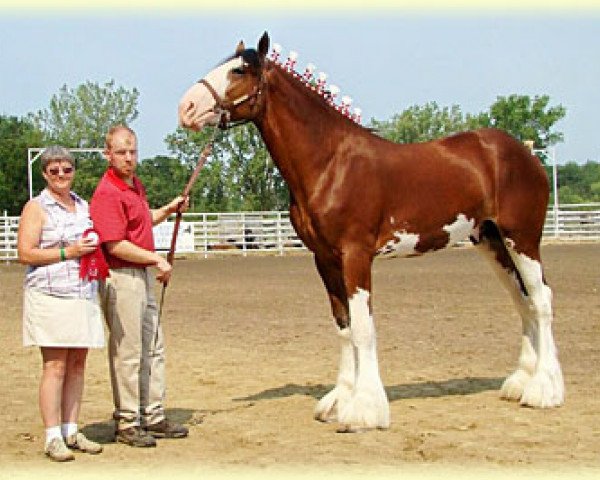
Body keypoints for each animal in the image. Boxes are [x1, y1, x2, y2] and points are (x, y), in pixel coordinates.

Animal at [177, 32, 564, 432]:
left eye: (238, 70)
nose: (186, 107)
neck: (331, 162)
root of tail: (526, 154)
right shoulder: (325, 259)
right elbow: (344, 326)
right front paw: (339, 400)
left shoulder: (356, 255)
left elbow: (363, 327)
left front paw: (363, 410)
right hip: (491, 241)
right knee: (522, 300)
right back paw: (521, 383)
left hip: (522, 238)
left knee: (541, 299)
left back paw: (543, 390)